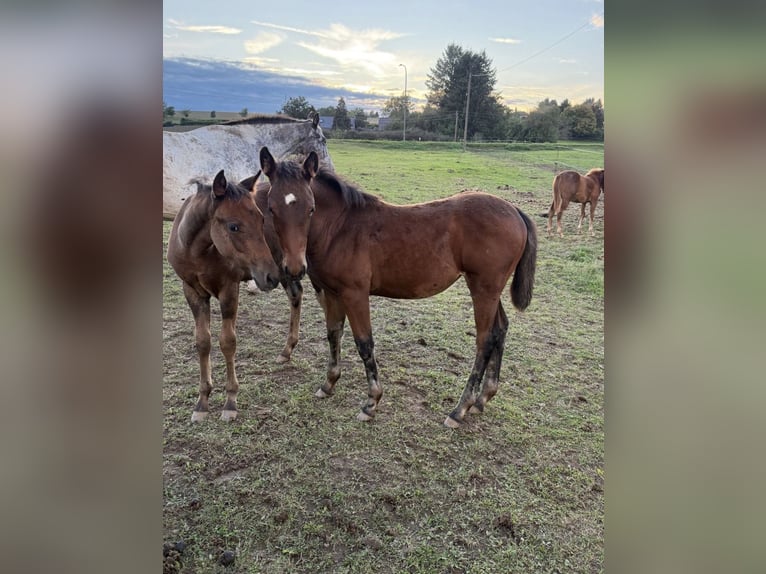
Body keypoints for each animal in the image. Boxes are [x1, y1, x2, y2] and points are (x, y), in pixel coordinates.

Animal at [166, 170, 281, 422]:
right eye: (233, 227)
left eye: (261, 220)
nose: (270, 276)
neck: (197, 252)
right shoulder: (192, 291)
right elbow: (203, 341)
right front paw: (202, 402)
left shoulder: (229, 289)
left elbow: (228, 342)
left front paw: (230, 401)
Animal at [259, 147, 538, 428]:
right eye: (271, 209)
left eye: (311, 208)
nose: (295, 268)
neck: (340, 228)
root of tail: (515, 210)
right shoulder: (332, 292)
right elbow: (333, 334)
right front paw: (329, 384)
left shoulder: (355, 294)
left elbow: (364, 343)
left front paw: (371, 402)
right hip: (489, 289)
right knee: (500, 329)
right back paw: (483, 398)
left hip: (483, 288)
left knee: (484, 340)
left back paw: (460, 409)